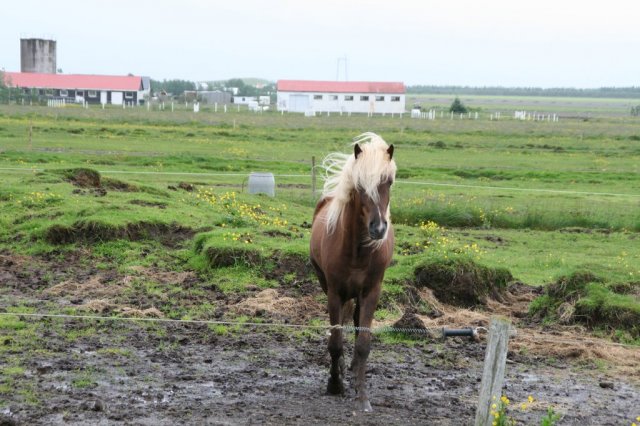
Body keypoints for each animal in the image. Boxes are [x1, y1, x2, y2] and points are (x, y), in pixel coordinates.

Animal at [310, 133, 396, 412]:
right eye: (359, 186)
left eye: (389, 181)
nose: (378, 228)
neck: (357, 250)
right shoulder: (334, 293)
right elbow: (335, 342)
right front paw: (335, 384)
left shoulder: (371, 292)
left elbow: (363, 344)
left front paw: (362, 396)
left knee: (357, 324)